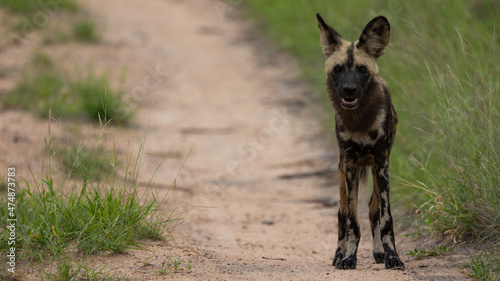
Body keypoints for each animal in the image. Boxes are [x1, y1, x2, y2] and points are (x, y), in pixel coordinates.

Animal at [318, 13, 404, 270]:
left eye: (362, 69)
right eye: (338, 69)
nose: (349, 90)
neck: (360, 119)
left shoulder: (381, 163)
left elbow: (385, 219)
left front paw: (392, 257)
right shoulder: (351, 164)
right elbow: (351, 221)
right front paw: (348, 257)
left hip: (375, 174)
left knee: (373, 209)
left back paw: (379, 252)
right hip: (342, 175)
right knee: (341, 214)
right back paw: (338, 254)